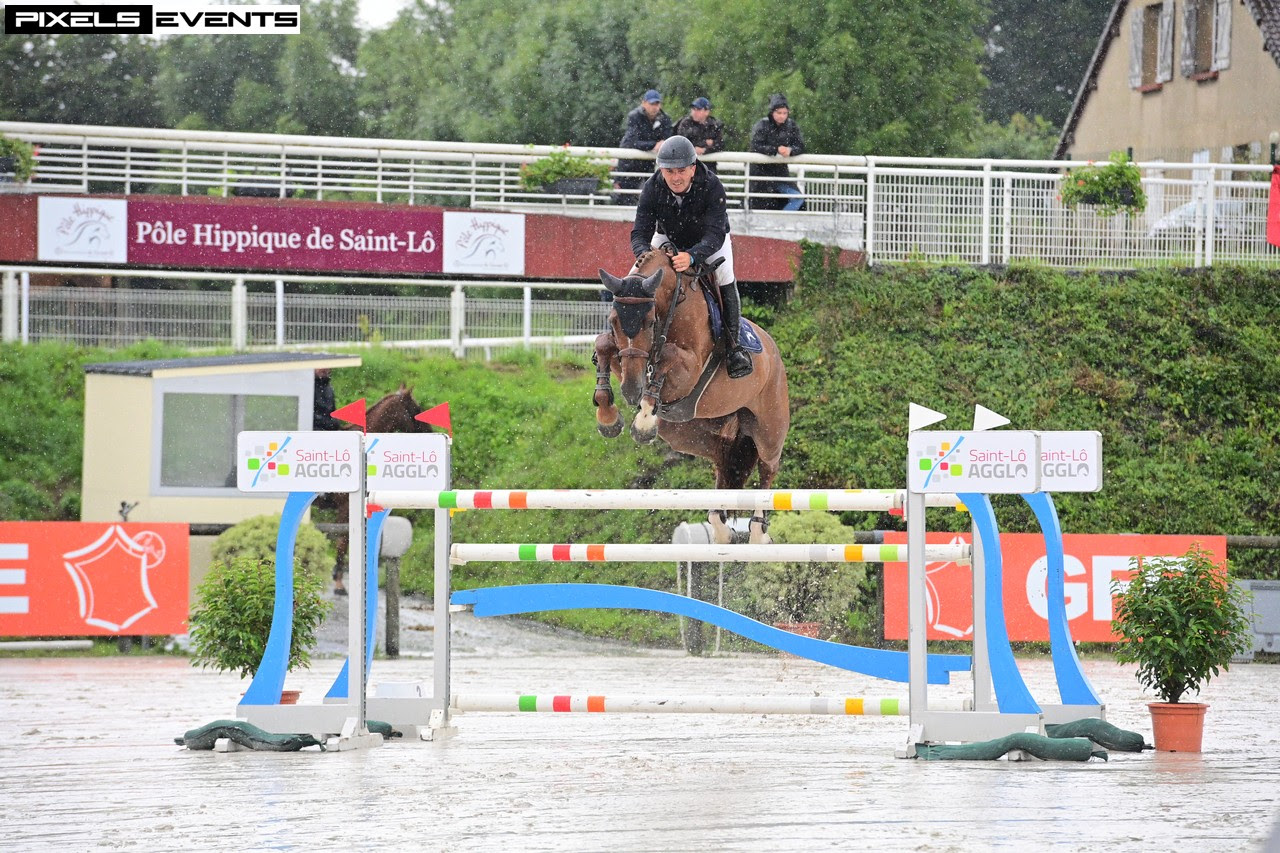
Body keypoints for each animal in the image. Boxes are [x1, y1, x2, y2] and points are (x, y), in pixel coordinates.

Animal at [591, 245, 788, 540]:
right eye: (612, 320)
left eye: (649, 323)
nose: (631, 390)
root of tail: (775, 353)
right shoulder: (625, 359)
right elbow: (603, 343)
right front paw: (608, 418)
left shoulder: (691, 369)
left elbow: (667, 356)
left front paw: (644, 420)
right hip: (692, 434)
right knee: (723, 467)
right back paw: (721, 529)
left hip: (769, 428)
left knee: (767, 467)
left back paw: (757, 533)